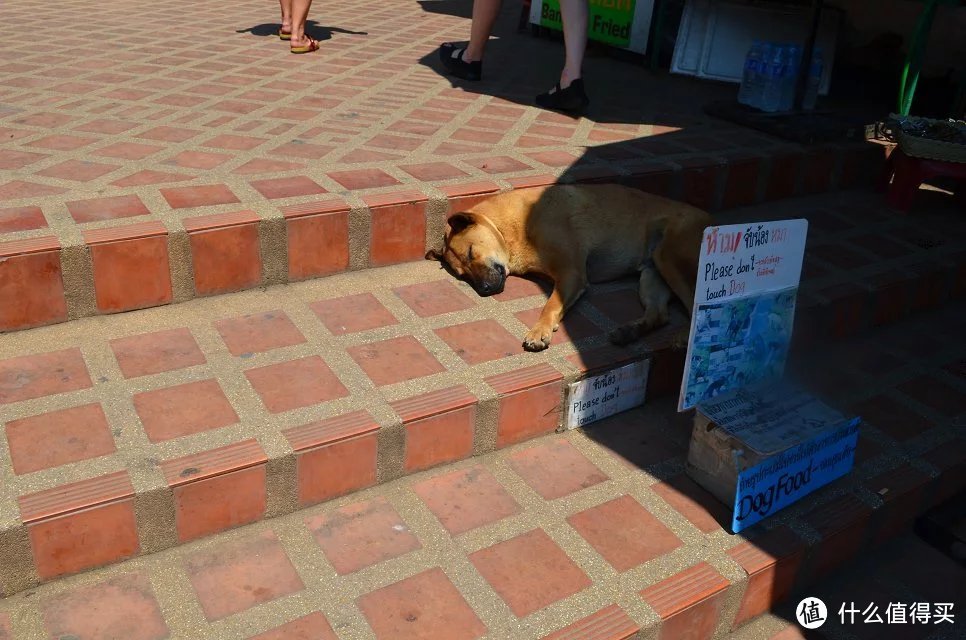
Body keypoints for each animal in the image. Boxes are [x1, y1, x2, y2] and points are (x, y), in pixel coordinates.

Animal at [428, 182, 716, 352]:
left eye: (471, 253)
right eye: (462, 275)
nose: (485, 289)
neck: (513, 228)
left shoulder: (572, 274)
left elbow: (551, 304)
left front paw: (540, 331)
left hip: (669, 257)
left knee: (700, 301)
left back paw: (685, 337)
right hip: (652, 273)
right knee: (660, 314)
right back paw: (629, 332)